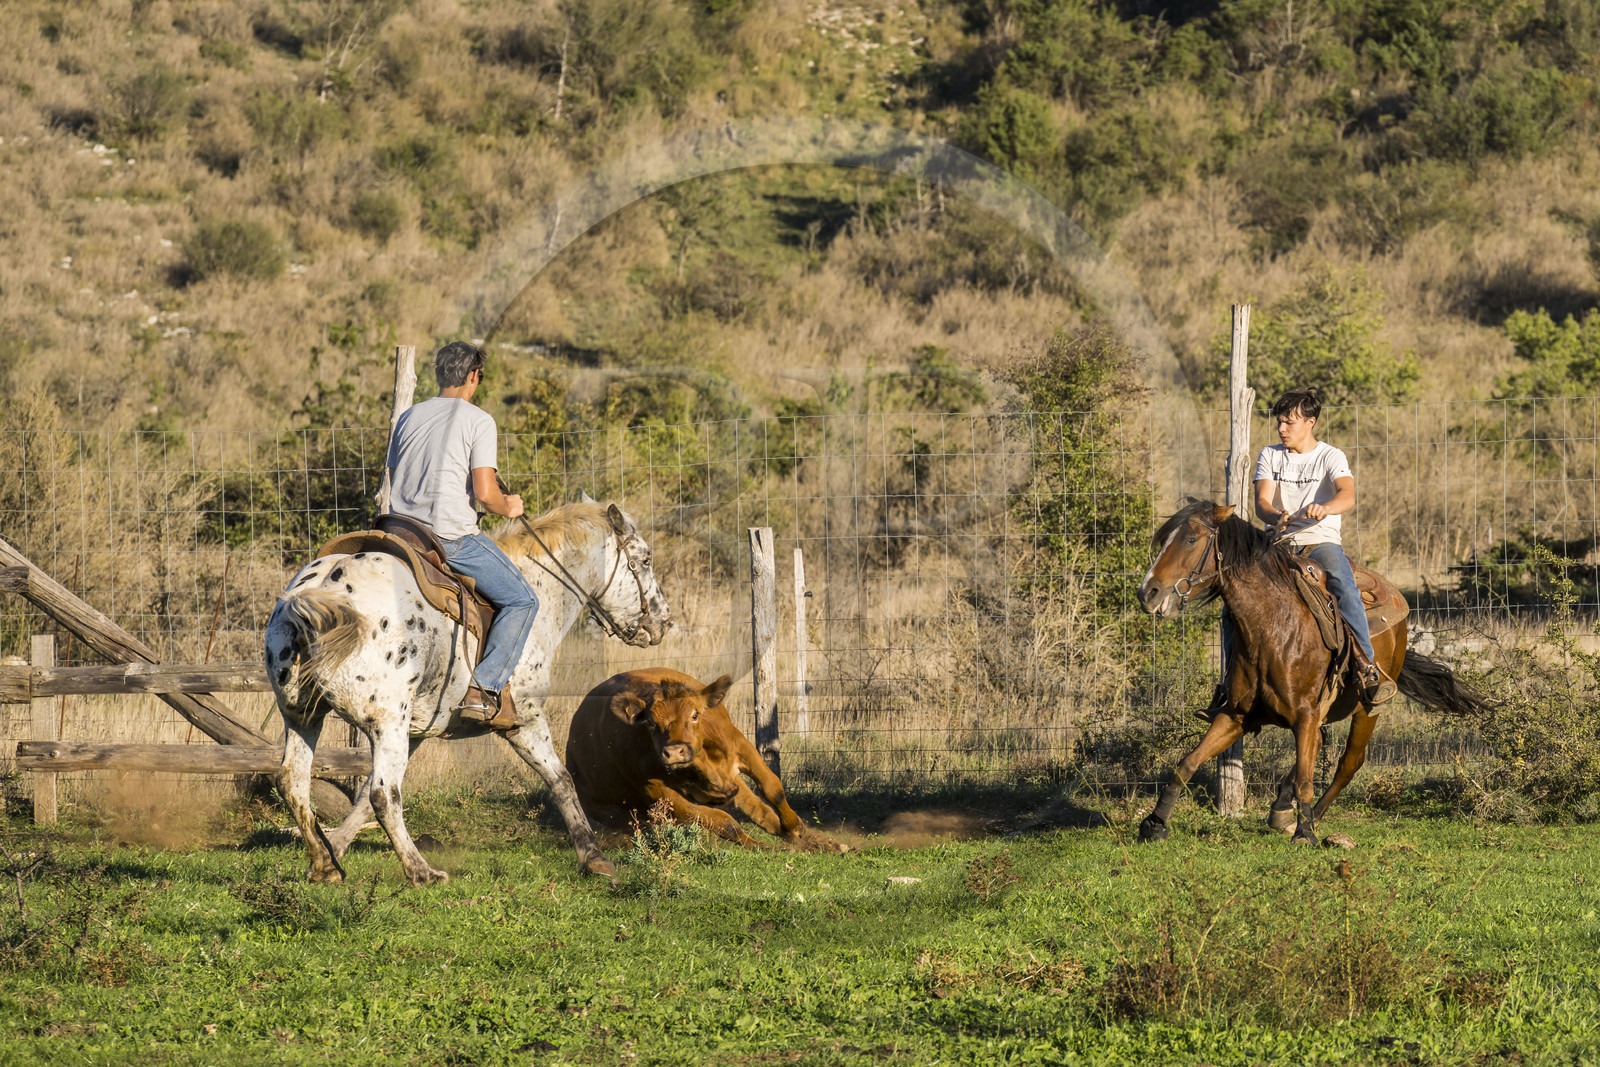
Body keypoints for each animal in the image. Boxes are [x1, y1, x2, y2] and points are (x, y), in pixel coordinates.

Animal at [566, 667, 844, 852]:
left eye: (695, 714)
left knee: (757, 806)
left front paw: (794, 827)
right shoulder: (660, 792)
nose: (674, 751)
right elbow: (724, 822)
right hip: (607, 810)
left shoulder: (740, 745)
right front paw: (765, 846)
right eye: (651, 723)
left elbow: (772, 788)